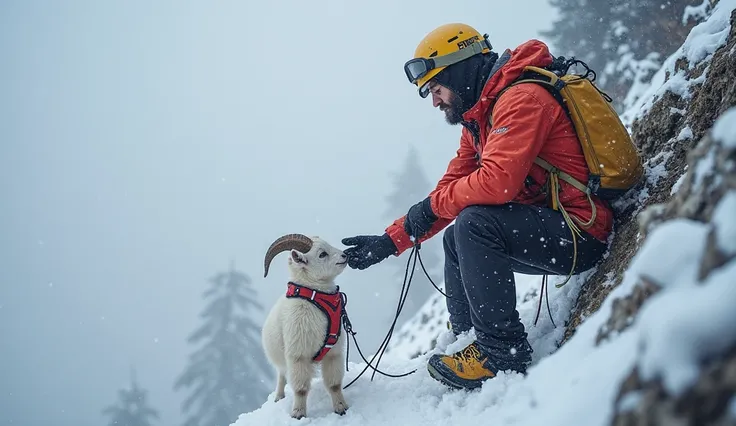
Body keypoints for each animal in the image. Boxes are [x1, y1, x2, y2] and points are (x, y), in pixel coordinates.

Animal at [260, 233, 350, 420]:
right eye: (322, 254)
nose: (345, 255)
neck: (315, 299)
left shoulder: (334, 353)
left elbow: (334, 385)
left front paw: (341, 408)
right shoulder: (298, 355)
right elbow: (300, 389)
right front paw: (298, 414)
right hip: (281, 360)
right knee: (282, 375)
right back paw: (279, 397)